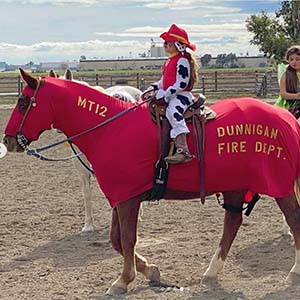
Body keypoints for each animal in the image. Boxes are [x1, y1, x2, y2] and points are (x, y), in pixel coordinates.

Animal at [3, 68, 300, 296]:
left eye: (23, 102)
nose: (8, 140)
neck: (110, 129)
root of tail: (286, 118)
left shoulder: (127, 200)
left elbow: (127, 239)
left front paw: (123, 280)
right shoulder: (122, 196)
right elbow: (117, 240)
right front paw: (150, 271)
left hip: (278, 186)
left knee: (293, 219)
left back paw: (294, 271)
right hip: (234, 186)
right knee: (232, 224)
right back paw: (211, 273)